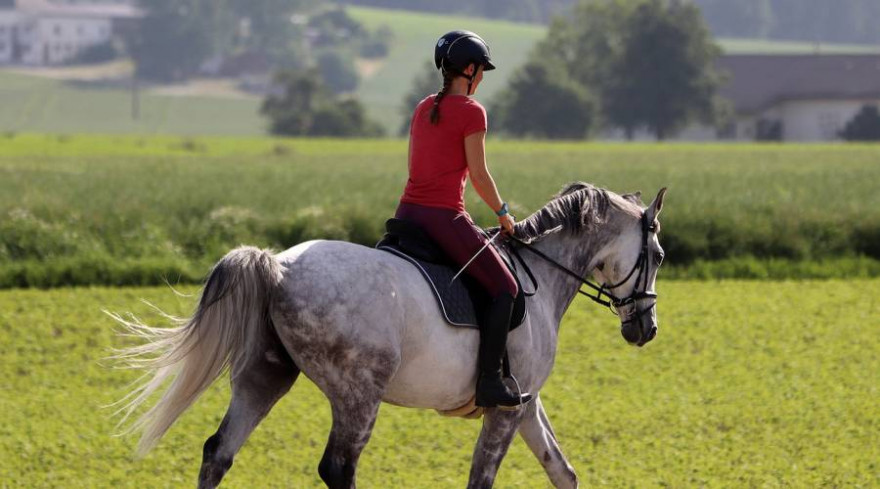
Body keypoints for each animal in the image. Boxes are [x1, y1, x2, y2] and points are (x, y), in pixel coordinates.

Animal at [111, 181, 668, 486]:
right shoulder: (507, 410)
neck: (542, 274)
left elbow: (561, 471)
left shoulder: (524, 404)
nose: (646, 329)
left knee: (218, 453)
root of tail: (279, 267)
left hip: (263, 378)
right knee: (338, 468)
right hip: (359, 395)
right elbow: (482, 478)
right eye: (659, 256)